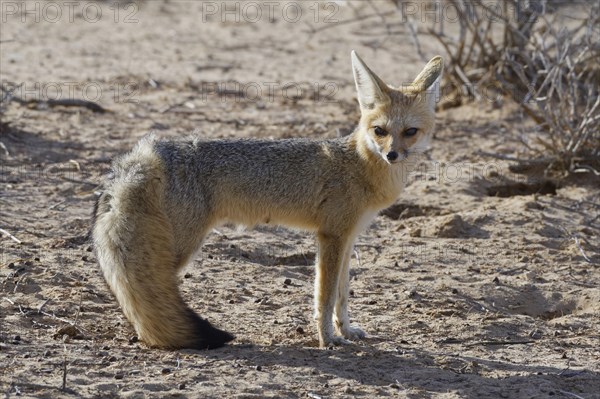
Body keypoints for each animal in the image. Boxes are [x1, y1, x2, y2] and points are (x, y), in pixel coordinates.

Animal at [91, 52, 442, 350]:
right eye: (380, 130)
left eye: (410, 131)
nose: (392, 155)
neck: (359, 165)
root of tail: (148, 152)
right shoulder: (330, 237)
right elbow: (325, 296)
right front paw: (327, 338)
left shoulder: (348, 238)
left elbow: (342, 294)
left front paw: (346, 329)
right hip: (177, 249)